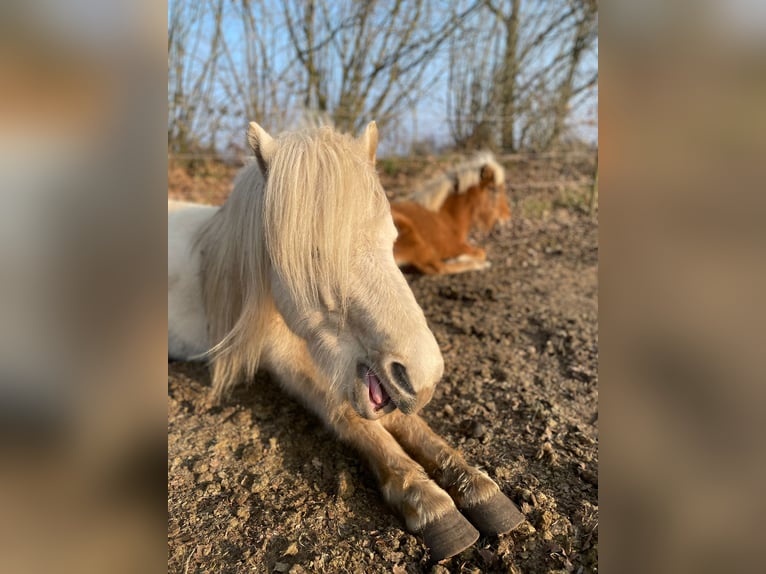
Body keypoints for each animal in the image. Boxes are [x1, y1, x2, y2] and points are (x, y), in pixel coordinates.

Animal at [168, 122, 524, 561]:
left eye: (393, 240)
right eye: (314, 255)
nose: (423, 376)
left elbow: (405, 421)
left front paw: (475, 485)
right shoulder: (284, 361)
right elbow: (347, 414)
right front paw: (428, 501)